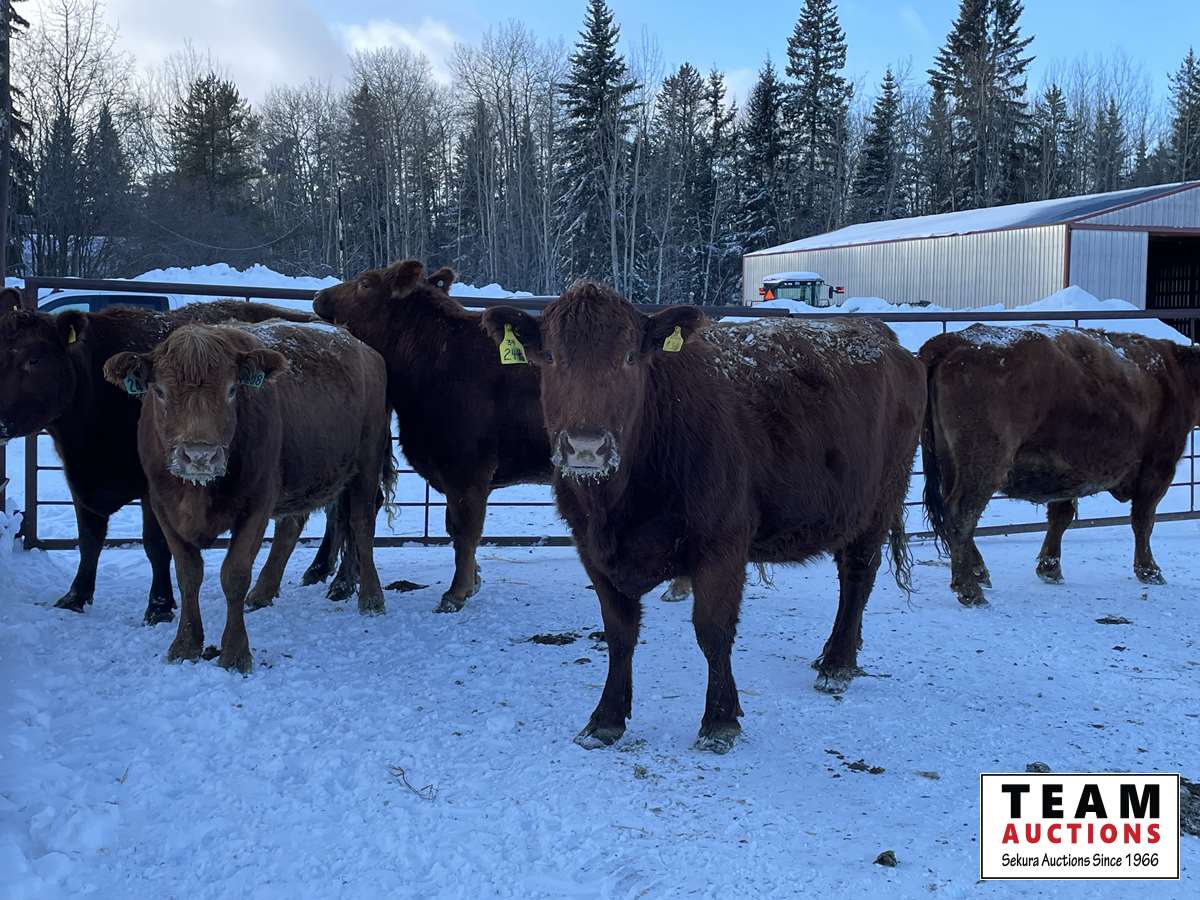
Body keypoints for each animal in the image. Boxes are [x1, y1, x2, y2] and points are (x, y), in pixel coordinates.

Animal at [0, 291, 345, 623]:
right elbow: (89, 540)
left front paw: (160, 606)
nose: (0, 421)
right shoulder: (82, 481)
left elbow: (155, 545)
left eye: (34, 359)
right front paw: (76, 597)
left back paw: (322, 572)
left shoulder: (155, 488)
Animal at [103, 320, 392, 673]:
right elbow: (188, 575)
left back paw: (371, 596)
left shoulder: (256, 506)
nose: (199, 455)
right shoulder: (163, 507)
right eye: (159, 391)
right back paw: (266, 592)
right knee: (292, 527)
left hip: (366, 460)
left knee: (361, 523)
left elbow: (234, 574)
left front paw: (235, 652)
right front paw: (185, 645)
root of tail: (363, 348)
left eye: (231, 390)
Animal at [481, 283, 925, 753]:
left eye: (630, 357)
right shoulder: (591, 549)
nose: (586, 447)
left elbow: (713, 631)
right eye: (550, 357)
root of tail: (885, 338)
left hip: (880, 499)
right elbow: (619, 634)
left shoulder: (722, 545)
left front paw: (719, 720)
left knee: (857, 576)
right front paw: (606, 718)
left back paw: (837, 664)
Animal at [920, 323, 1200, 606]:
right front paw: (1150, 570)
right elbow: (1143, 520)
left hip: (951, 461)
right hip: (985, 462)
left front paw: (1050, 567)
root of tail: (952, 340)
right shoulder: (1158, 466)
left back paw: (978, 571)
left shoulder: (1068, 471)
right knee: (962, 513)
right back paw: (969, 589)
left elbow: (1061, 516)